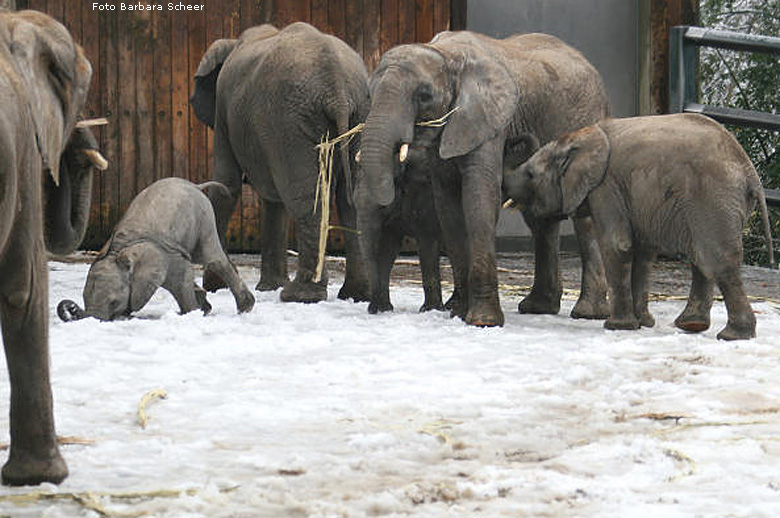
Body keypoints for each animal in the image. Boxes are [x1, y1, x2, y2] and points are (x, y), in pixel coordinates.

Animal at [59, 179, 258, 322]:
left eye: (114, 302)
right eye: (84, 299)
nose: (71, 308)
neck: (118, 251)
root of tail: (194, 185)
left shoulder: (164, 255)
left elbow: (181, 277)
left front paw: (190, 314)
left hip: (204, 217)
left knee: (211, 259)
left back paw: (245, 308)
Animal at [190, 21, 370, 304]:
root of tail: (337, 89)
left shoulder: (224, 109)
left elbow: (226, 184)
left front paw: (214, 286)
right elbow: (272, 199)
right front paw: (267, 287)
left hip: (290, 120)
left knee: (307, 198)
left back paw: (300, 295)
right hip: (356, 115)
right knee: (349, 198)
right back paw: (356, 294)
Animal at [356, 30, 612, 328]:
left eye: (424, 95)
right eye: (371, 94)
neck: (446, 54)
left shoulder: (489, 121)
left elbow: (478, 197)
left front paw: (482, 321)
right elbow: (449, 207)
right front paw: (459, 314)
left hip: (586, 119)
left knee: (584, 219)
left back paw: (588, 313)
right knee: (539, 220)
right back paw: (538, 307)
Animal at [502, 113, 776, 342]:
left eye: (530, 174)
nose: (512, 137)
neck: (581, 137)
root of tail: (751, 173)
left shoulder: (607, 187)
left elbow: (617, 245)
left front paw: (617, 326)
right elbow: (643, 253)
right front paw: (642, 323)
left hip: (713, 197)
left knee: (716, 261)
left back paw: (732, 336)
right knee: (702, 259)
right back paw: (692, 326)